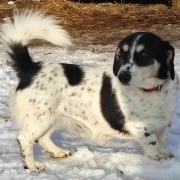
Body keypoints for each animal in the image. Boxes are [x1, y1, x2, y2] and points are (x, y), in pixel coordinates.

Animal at [1, 10, 179, 172]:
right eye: (121, 54)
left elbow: (162, 139)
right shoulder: (138, 126)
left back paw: (58, 152)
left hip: (51, 118)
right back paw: (31, 165)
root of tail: (30, 67)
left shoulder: (165, 122)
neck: (151, 90)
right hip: (40, 118)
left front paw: (163, 153)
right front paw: (157, 156)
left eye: (144, 54)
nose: (122, 76)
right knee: (24, 138)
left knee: (42, 138)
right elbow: (152, 140)